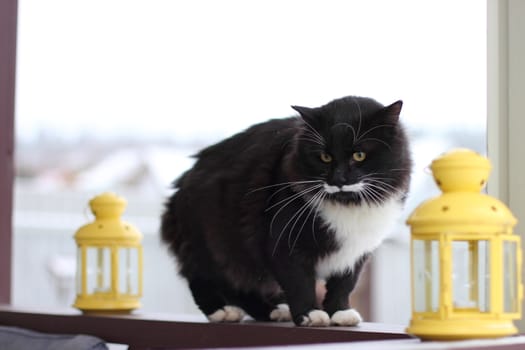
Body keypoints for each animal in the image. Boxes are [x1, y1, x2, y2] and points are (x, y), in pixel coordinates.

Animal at [160, 95, 410, 326]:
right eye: (325, 157)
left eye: (359, 155)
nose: (338, 179)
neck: (347, 204)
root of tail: (184, 179)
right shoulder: (283, 243)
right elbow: (299, 282)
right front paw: (310, 314)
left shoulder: (356, 253)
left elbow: (344, 285)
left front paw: (340, 312)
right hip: (212, 244)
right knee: (201, 276)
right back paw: (220, 311)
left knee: (240, 287)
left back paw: (272, 311)